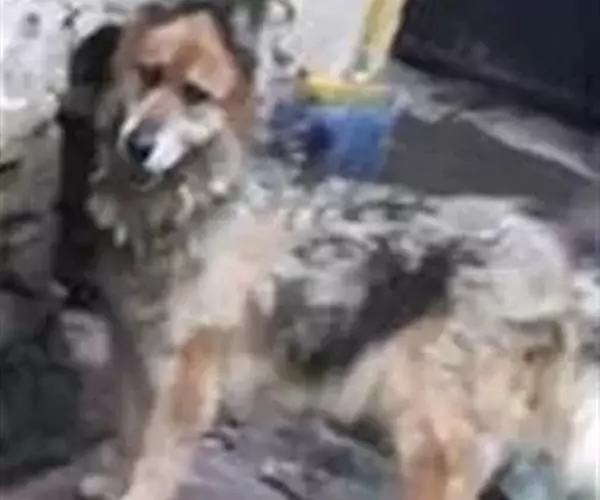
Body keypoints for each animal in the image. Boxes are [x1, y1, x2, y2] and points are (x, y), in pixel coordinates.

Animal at [77, 2, 598, 500]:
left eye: (195, 95)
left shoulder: (186, 382)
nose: (138, 145)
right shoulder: (136, 354)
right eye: (148, 74)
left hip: (428, 439)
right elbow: (131, 434)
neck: (196, 204)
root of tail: (552, 262)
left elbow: (154, 465)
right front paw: (113, 481)